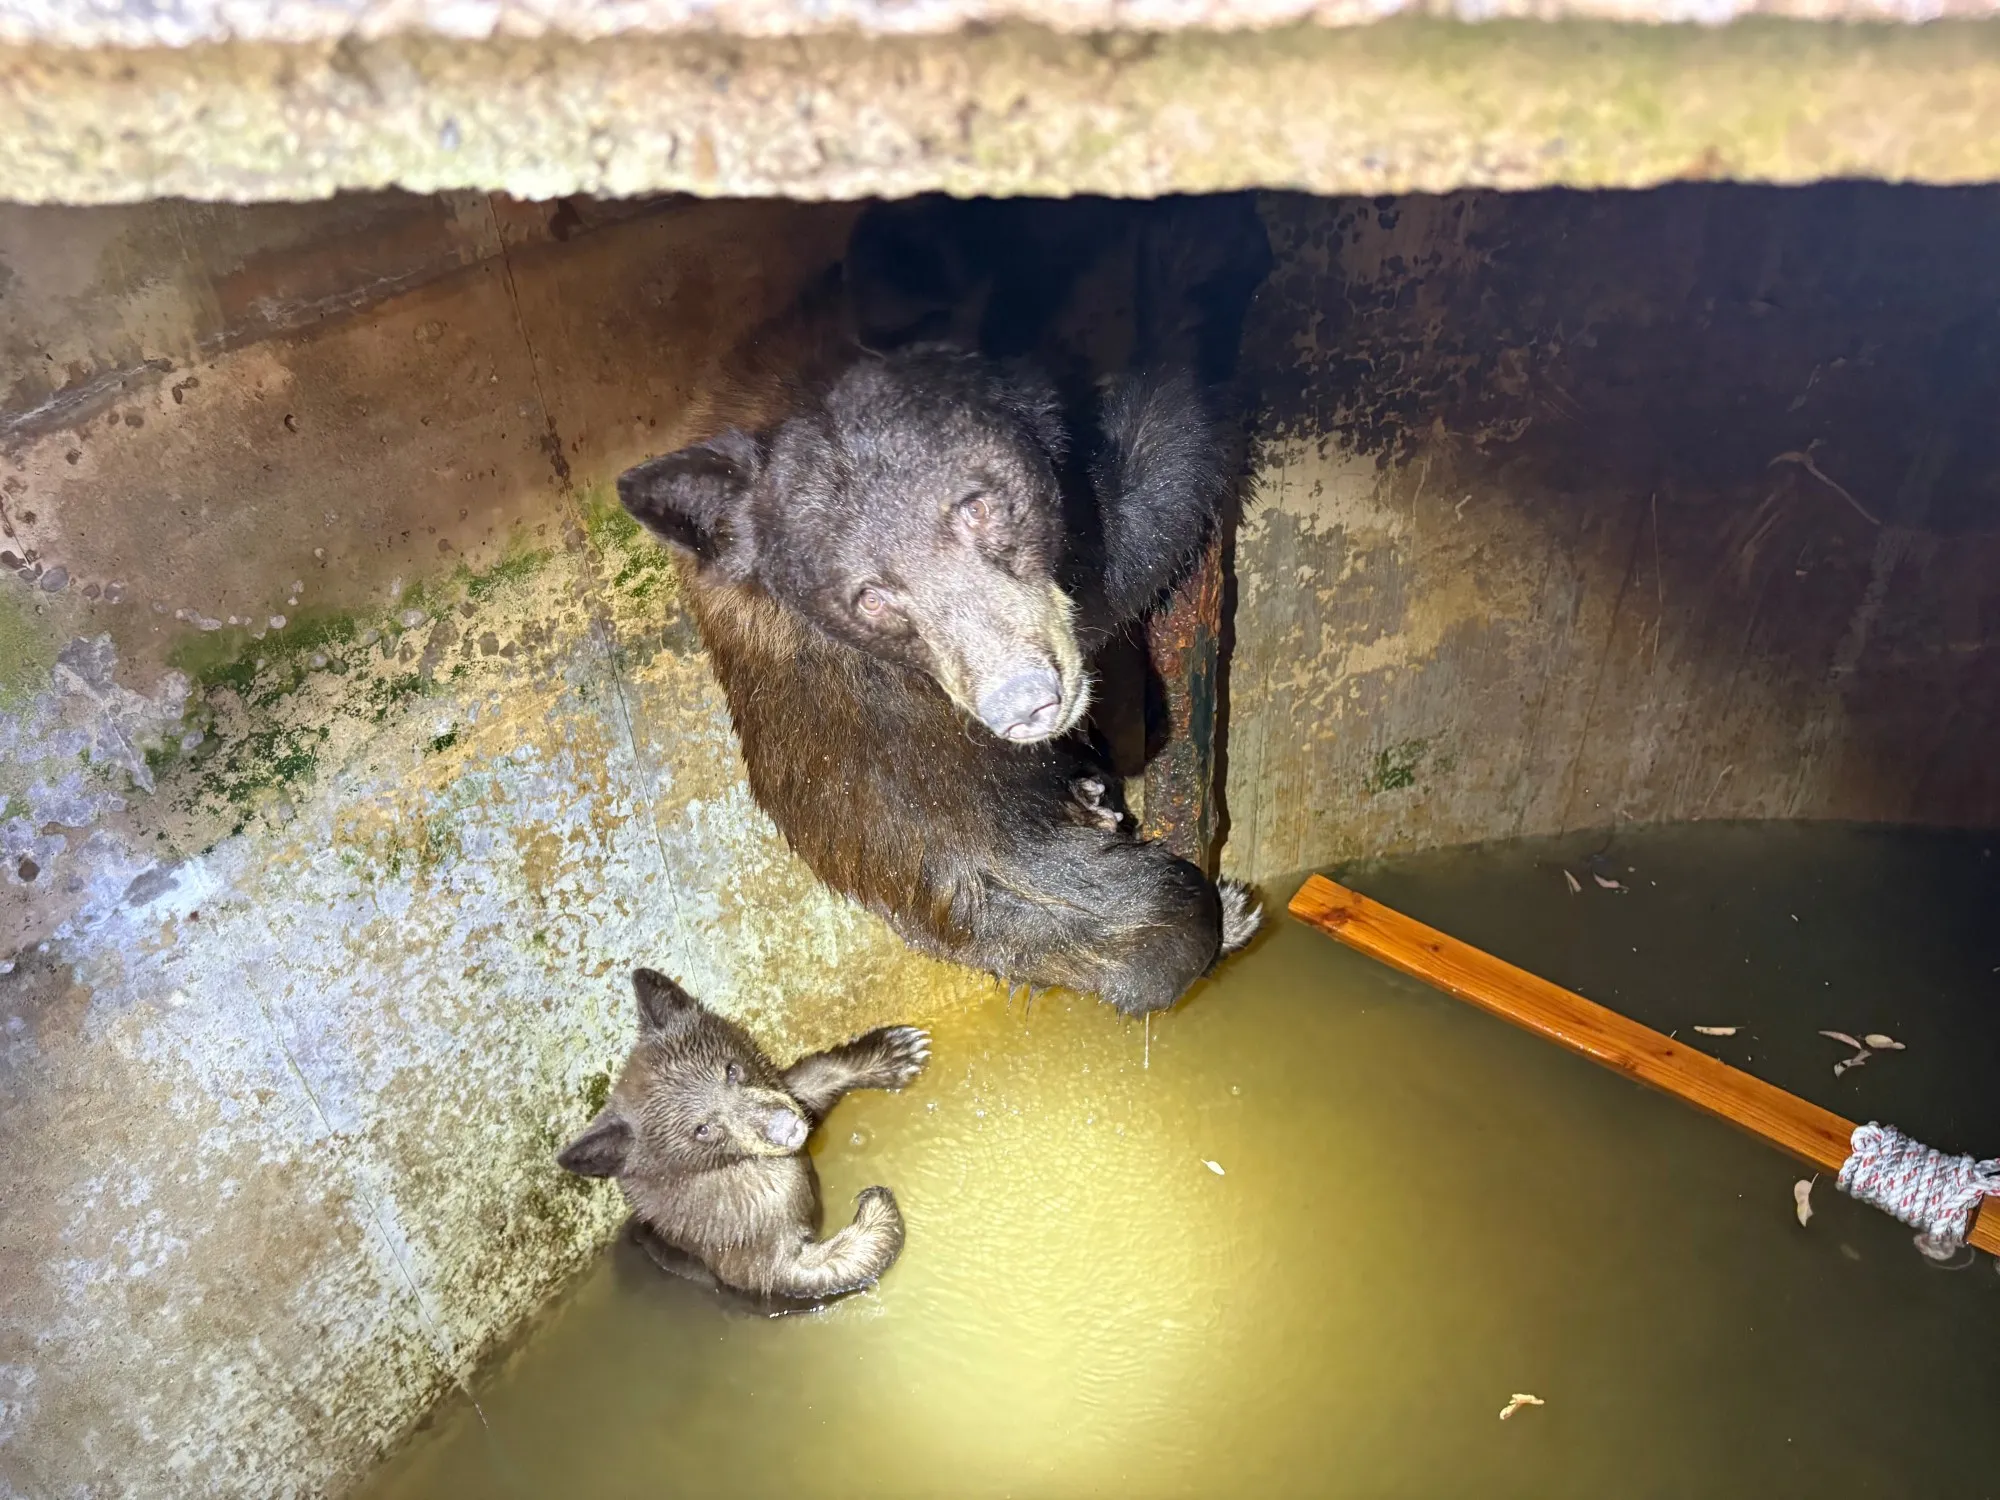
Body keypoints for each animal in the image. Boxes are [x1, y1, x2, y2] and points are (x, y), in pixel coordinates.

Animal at [556, 968, 930, 1303]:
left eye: (732, 1069)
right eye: (702, 1129)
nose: (785, 1127)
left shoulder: (781, 1093)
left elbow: (812, 1079)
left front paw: (898, 1050)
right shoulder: (738, 1242)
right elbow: (801, 1273)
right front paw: (876, 1207)